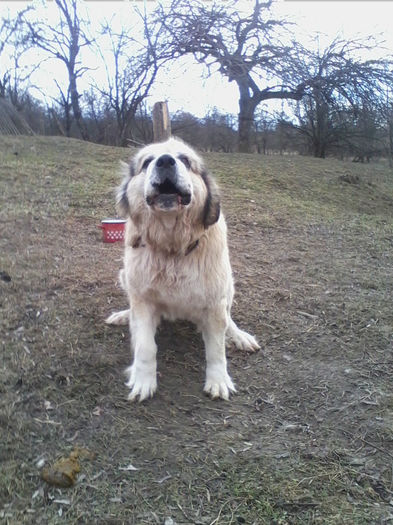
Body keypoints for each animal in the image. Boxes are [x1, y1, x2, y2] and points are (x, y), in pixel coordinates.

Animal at [105, 137, 258, 400]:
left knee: (229, 318)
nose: (165, 161)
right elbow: (145, 346)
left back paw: (239, 336)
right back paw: (124, 315)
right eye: (147, 161)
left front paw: (218, 380)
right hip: (126, 278)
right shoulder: (143, 300)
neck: (172, 249)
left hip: (228, 285)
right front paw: (143, 380)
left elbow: (216, 349)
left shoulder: (215, 303)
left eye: (185, 160)